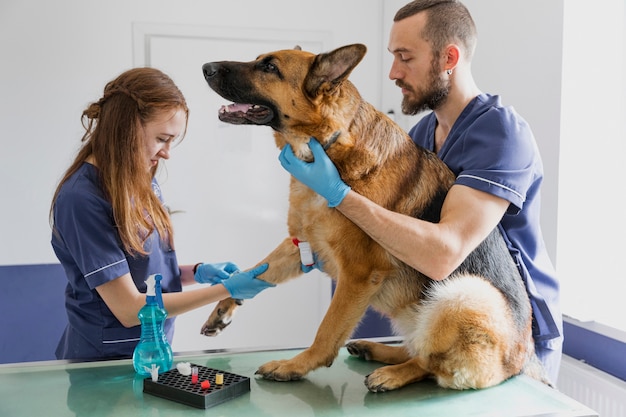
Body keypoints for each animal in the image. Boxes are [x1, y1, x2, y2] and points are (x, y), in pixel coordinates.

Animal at [200, 44, 544, 392]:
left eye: (270, 67)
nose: (205, 67)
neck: (330, 144)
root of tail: (523, 361)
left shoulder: (357, 274)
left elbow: (326, 331)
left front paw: (295, 366)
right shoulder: (302, 245)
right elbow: (255, 270)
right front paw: (226, 300)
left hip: (463, 292)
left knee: (430, 363)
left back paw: (393, 373)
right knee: (418, 347)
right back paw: (377, 350)